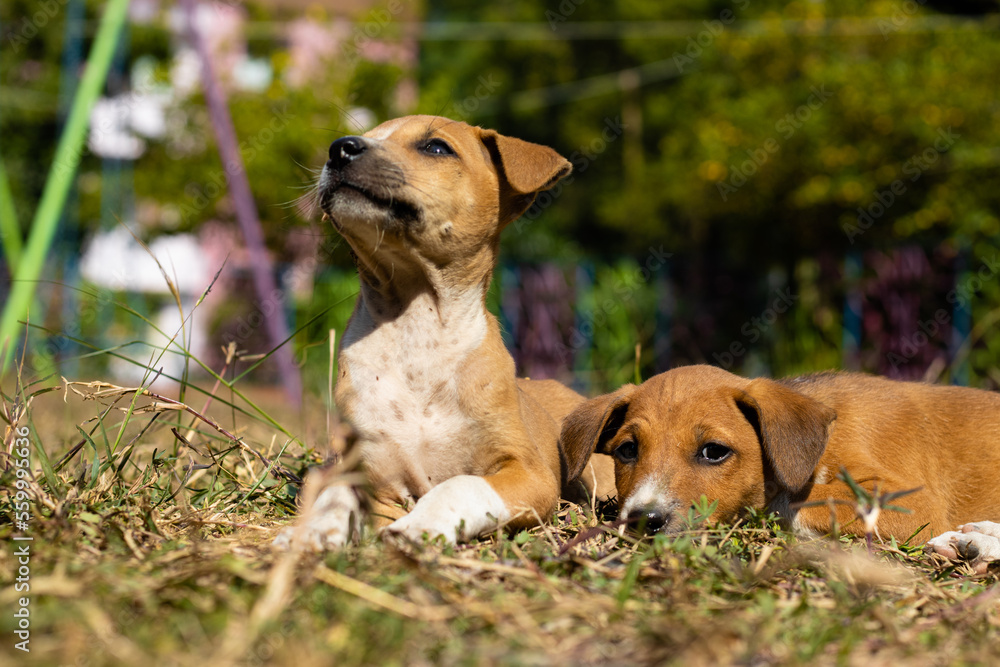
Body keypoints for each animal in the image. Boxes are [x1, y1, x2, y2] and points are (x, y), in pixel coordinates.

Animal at [278, 116, 612, 552]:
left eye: (436, 147)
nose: (340, 148)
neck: (417, 328)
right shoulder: (355, 461)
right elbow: (332, 492)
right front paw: (312, 531)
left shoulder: (529, 472)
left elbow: (462, 484)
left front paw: (420, 523)